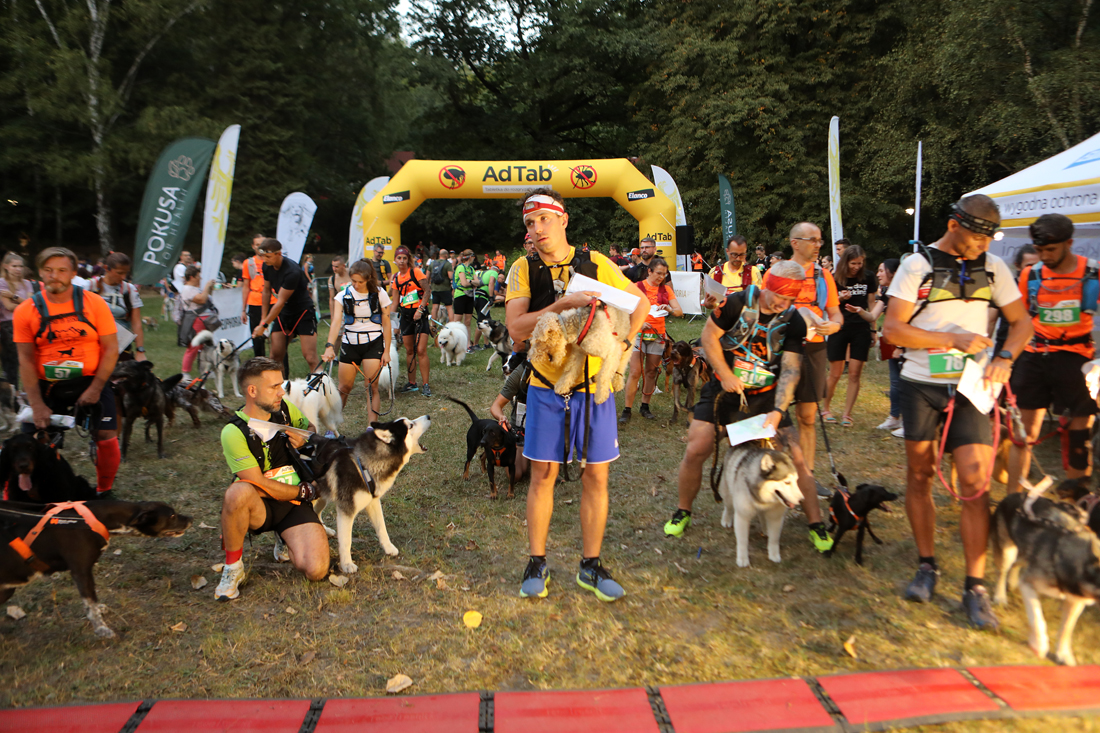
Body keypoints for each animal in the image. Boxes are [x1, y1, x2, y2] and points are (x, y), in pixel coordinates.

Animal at [0, 500, 191, 637]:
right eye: (172, 515)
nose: (191, 519)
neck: (92, 520)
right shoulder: (81, 571)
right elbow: (90, 604)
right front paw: (101, 629)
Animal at [310, 415, 431, 573]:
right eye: (411, 425)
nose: (428, 416)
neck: (363, 464)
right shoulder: (346, 510)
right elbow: (346, 540)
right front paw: (346, 564)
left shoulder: (373, 502)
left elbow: (381, 528)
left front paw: (389, 548)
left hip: (320, 495)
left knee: (316, 512)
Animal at [992, 491, 1100, 665]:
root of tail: (1015, 494)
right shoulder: (1028, 585)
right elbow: (1037, 619)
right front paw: (1039, 646)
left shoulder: (1077, 601)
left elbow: (1066, 629)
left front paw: (1063, 655)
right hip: (1008, 552)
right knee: (1002, 572)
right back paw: (1000, 597)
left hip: (1023, 553)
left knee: (1016, 566)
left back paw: (1013, 583)